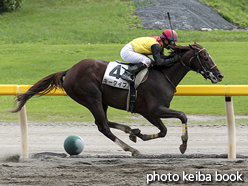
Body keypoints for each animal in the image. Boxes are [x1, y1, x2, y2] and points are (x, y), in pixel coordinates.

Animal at [10, 42, 223, 156]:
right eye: (205, 57)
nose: (219, 75)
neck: (163, 74)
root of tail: (69, 70)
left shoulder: (150, 112)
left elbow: (163, 131)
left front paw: (140, 134)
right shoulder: (152, 110)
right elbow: (181, 116)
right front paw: (183, 145)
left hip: (101, 100)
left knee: (103, 121)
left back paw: (132, 131)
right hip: (92, 98)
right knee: (103, 126)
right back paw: (131, 147)